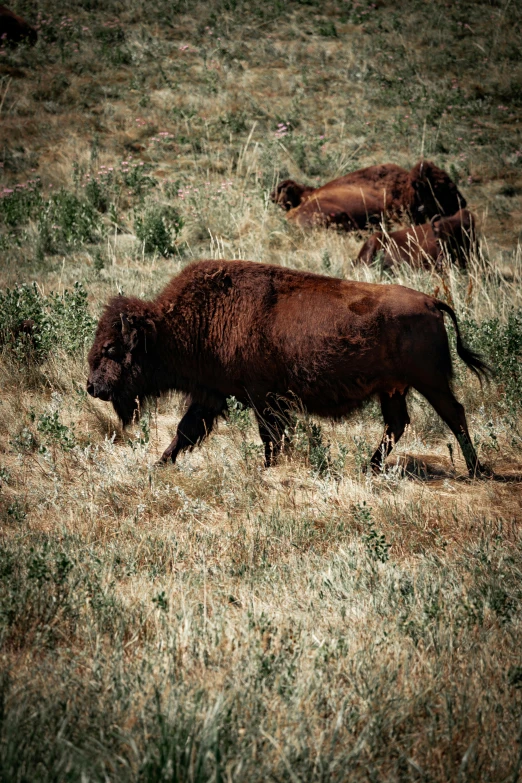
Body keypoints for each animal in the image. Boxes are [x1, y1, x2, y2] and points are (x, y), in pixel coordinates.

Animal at [86, 260, 488, 478]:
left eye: (111, 348)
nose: (92, 387)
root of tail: (432, 302)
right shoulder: (212, 395)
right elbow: (185, 431)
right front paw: (159, 464)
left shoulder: (262, 398)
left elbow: (270, 436)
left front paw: (268, 468)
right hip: (393, 389)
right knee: (398, 424)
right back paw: (368, 467)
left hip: (430, 382)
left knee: (454, 414)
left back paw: (476, 470)